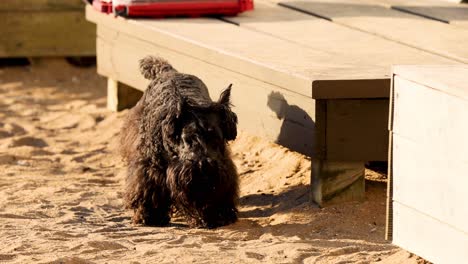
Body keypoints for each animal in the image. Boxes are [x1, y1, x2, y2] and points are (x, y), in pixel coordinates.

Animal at [119, 56, 239, 229]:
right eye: (187, 138)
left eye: (216, 137)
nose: (204, 168)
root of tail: (168, 70)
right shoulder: (149, 167)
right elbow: (148, 189)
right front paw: (150, 216)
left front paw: (216, 215)